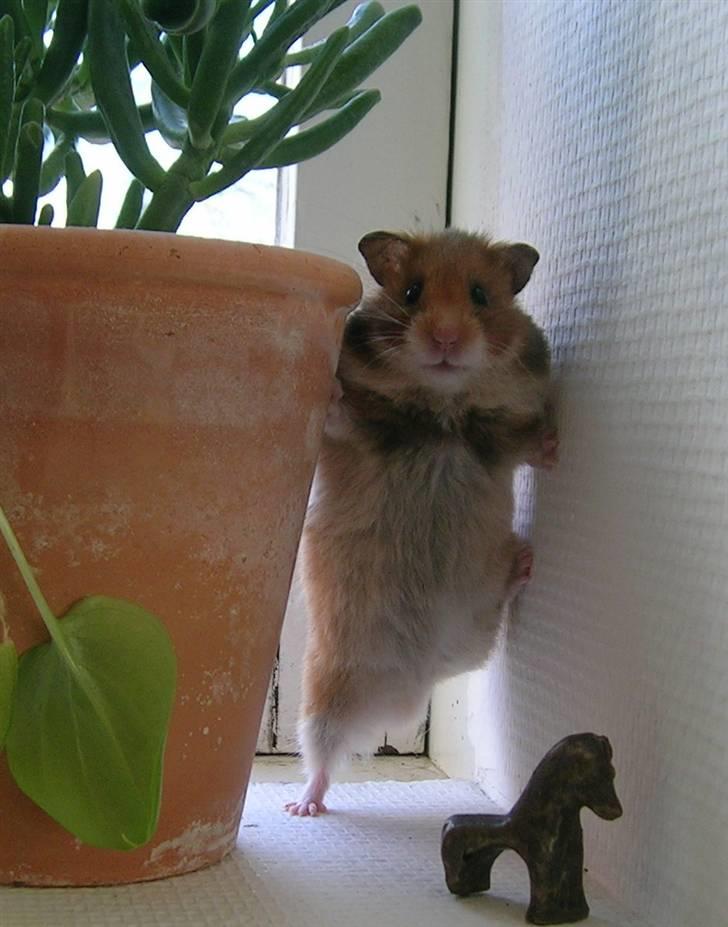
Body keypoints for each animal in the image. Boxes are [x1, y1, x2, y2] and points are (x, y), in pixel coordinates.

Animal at [284, 229, 557, 817]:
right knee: (322, 760)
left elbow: (529, 447)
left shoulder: (502, 440)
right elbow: (340, 411)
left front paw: (556, 443)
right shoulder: (351, 432)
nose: (447, 339)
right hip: (326, 691)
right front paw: (332, 390)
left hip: (474, 628)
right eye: (411, 292)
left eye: (480, 295)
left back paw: (525, 560)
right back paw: (303, 806)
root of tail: (418, 680)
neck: (443, 410)